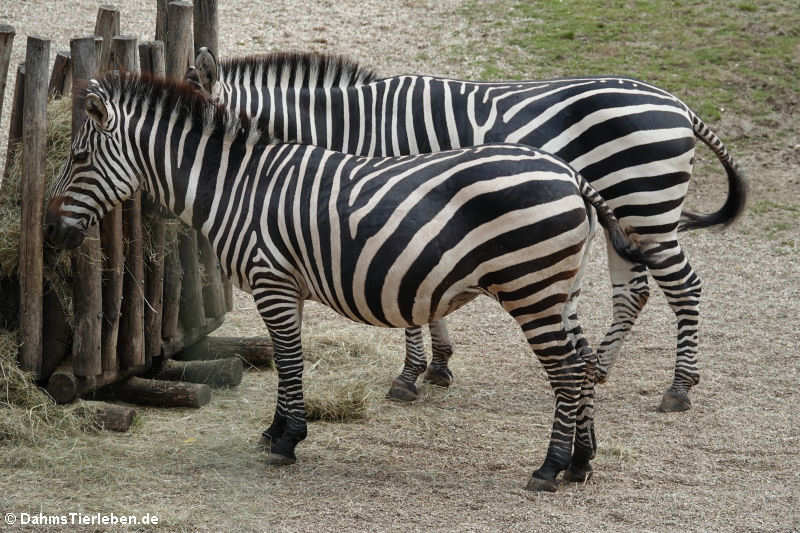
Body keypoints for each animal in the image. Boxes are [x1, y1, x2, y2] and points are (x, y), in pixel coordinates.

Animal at [45, 72, 656, 492]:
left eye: (78, 157)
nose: (49, 232)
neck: (236, 187)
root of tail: (571, 174)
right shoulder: (287, 284)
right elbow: (284, 359)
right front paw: (276, 431)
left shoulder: (272, 278)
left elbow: (289, 358)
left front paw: (286, 439)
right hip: (559, 288)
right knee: (581, 361)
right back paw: (582, 461)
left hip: (531, 287)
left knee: (567, 368)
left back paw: (550, 467)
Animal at [184, 46, 748, 412]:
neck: (353, 125)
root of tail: (679, 105)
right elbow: (422, 296)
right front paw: (438, 366)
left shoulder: (393, 205)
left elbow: (406, 298)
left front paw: (410, 375)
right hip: (624, 216)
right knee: (633, 292)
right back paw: (601, 368)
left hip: (646, 206)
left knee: (685, 288)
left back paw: (679, 388)